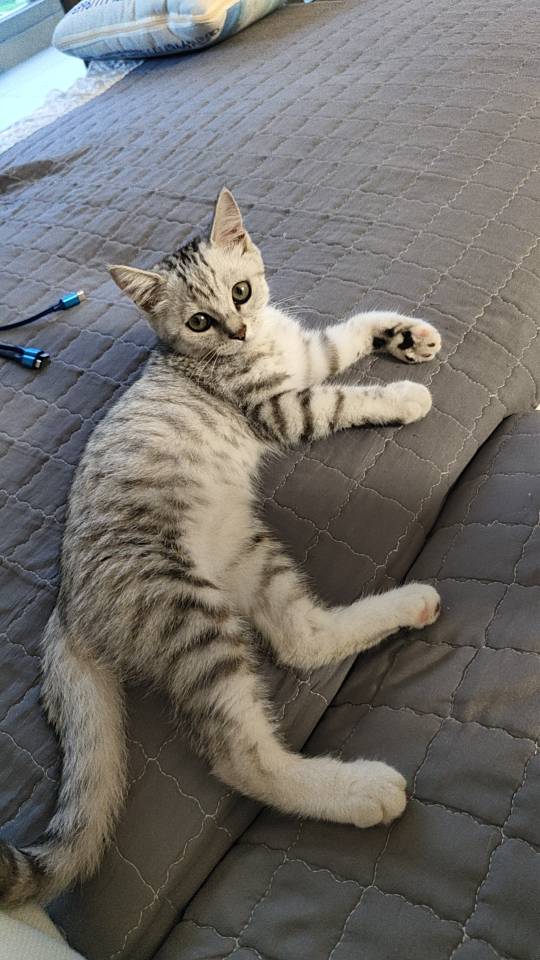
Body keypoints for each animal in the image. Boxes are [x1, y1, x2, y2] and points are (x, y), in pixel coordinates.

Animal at [0, 188, 442, 905]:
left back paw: (410, 605)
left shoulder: (308, 351)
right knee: (240, 757)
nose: (237, 331)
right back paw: (361, 791)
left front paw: (406, 335)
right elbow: (340, 398)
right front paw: (402, 394)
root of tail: (63, 610)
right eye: (201, 321)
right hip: (187, 612)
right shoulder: (286, 407)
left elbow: (350, 330)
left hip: (248, 554)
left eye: (241, 291)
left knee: (302, 639)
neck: (262, 344)